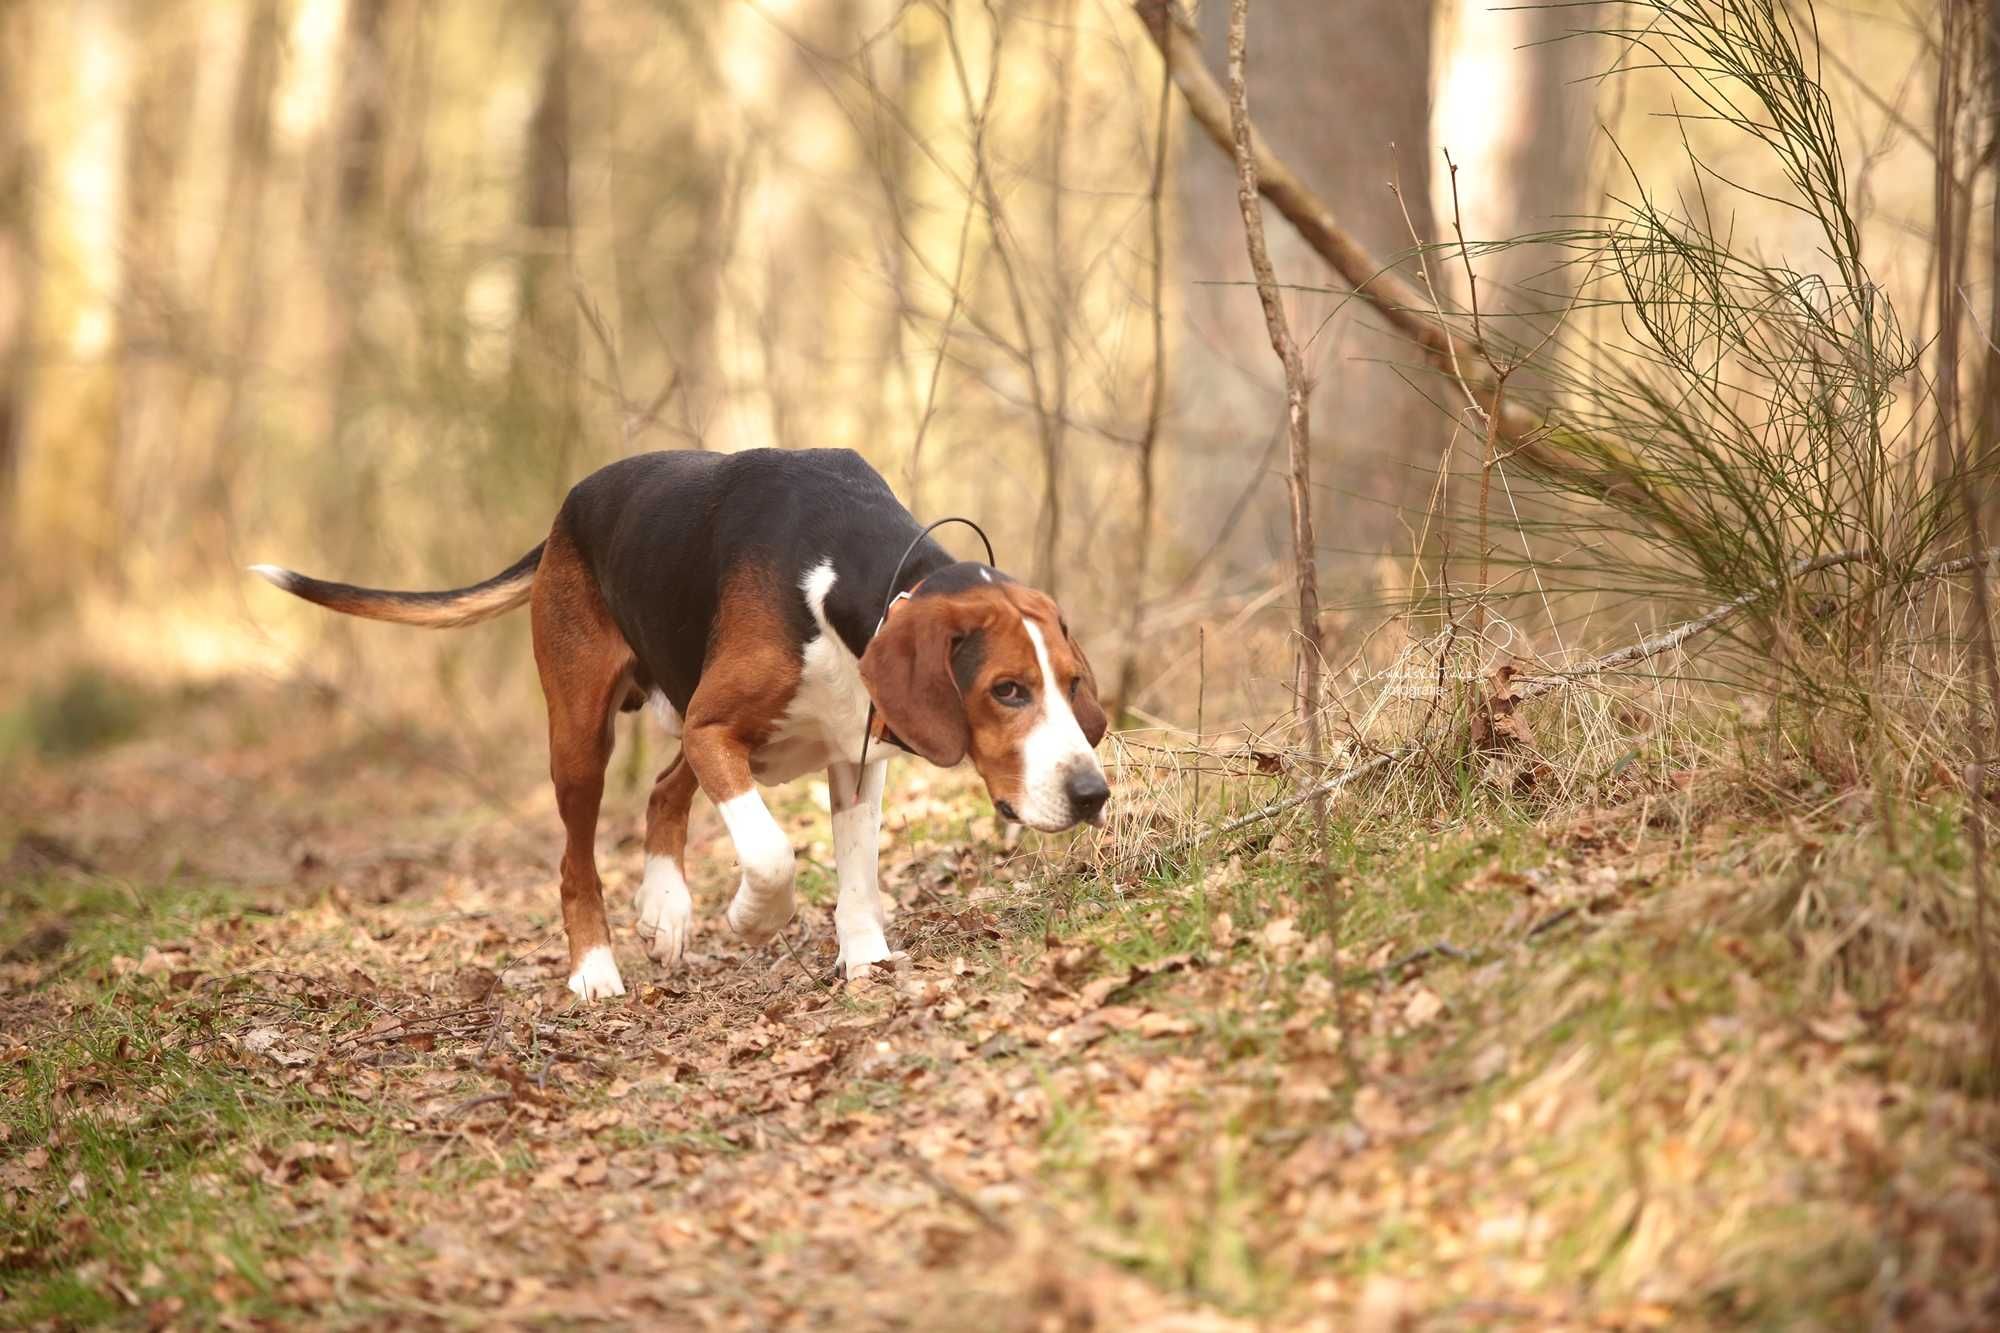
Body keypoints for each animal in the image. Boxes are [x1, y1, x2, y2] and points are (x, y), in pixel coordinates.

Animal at [250, 446, 1112, 996]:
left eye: (1071, 684)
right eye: (1007, 690)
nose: (1093, 794)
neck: (847, 584)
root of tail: (567, 510)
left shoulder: (855, 753)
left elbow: (858, 874)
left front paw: (865, 959)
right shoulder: (714, 729)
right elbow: (771, 854)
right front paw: (755, 920)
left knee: (664, 791)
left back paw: (665, 908)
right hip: (583, 736)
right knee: (577, 860)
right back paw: (595, 969)